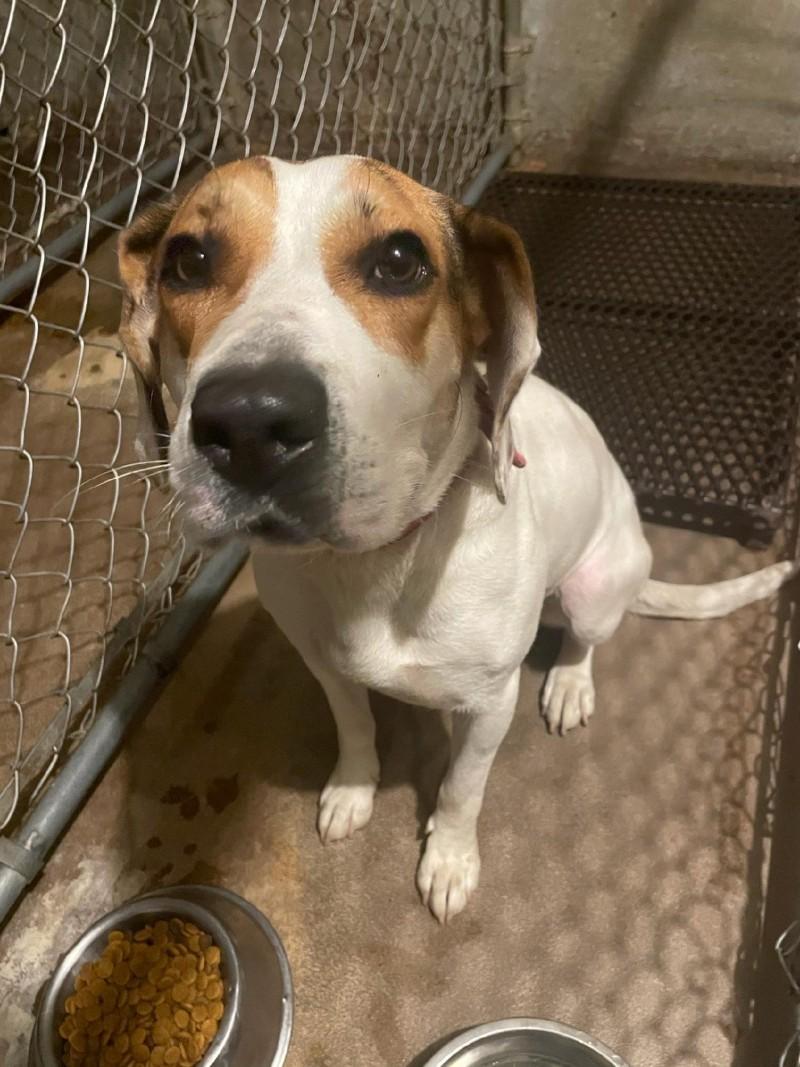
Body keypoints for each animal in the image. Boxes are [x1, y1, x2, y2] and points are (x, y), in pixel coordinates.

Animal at [118, 154, 800, 921]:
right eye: (188, 261)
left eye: (398, 261)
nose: (248, 424)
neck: (377, 564)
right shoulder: (325, 667)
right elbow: (355, 728)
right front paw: (353, 789)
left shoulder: (487, 707)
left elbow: (460, 790)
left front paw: (448, 857)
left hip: (594, 587)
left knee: (587, 639)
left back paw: (571, 683)